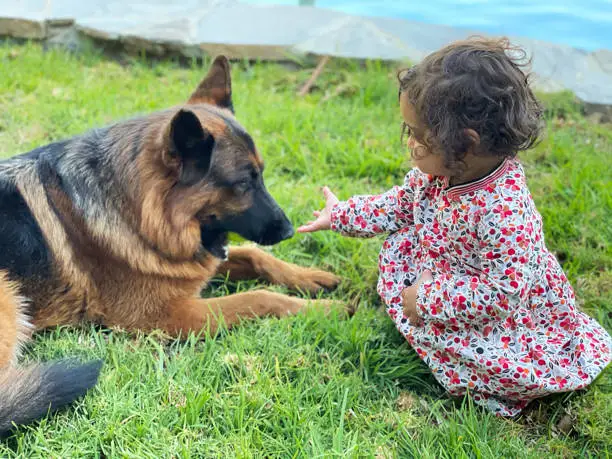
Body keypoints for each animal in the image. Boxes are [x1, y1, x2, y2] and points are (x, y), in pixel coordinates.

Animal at [0, 56, 344, 434]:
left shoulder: (190, 265)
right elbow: (258, 298)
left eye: (263, 175)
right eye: (242, 184)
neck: (135, 208)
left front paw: (309, 277)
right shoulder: (169, 315)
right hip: (10, 296)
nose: (289, 231)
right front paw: (326, 310)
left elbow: (255, 256)